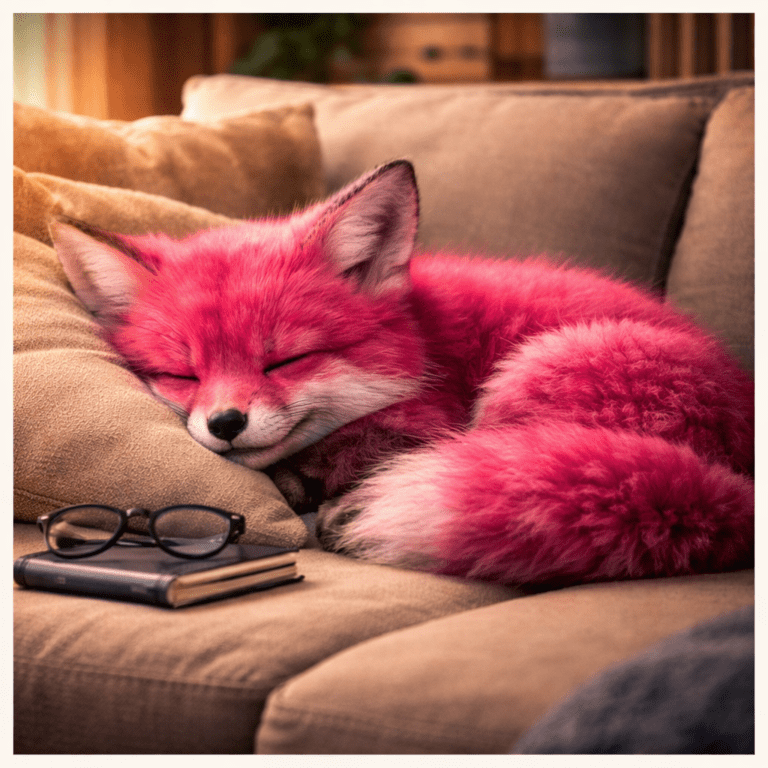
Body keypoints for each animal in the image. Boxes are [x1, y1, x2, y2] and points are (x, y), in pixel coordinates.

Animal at [50, 160, 754, 586]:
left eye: (286, 359)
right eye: (182, 374)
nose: (225, 423)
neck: (423, 345)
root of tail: (729, 486)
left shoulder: (432, 417)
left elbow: (362, 444)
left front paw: (315, 484)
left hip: (536, 373)